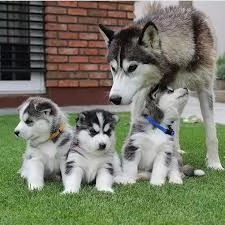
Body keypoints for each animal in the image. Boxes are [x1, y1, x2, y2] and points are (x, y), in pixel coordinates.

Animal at [99, 4, 223, 169]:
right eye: (113, 68)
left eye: (132, 67)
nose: (114, 99)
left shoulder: (205, 89)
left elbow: (211, 132)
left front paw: (215, 164)